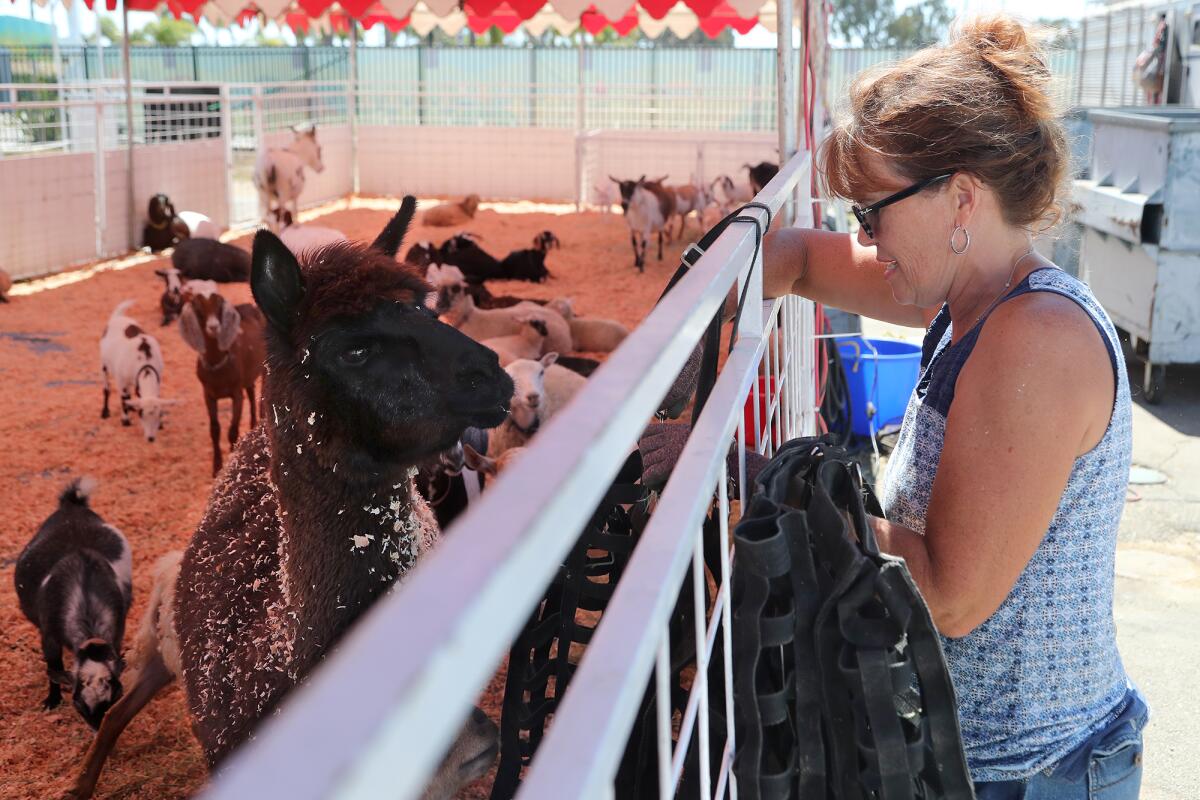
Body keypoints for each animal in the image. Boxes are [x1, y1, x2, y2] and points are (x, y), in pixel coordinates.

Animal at [14, 479, 132, 729]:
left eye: (116, 695)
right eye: (78, 703)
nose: (98, 727)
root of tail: (72, 506)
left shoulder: (117, 634)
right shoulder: (49, 636)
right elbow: (54, 667)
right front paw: (52, 700)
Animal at [176, 280, 266, 474]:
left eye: (219, 305)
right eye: (198, 308)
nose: (213, 327)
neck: (216, 363)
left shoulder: (236, 393)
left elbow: (232, 430)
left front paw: (231, 459)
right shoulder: (208, 394)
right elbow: (214, 429)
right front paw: (216, 466)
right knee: (251, 392)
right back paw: (253, 423)